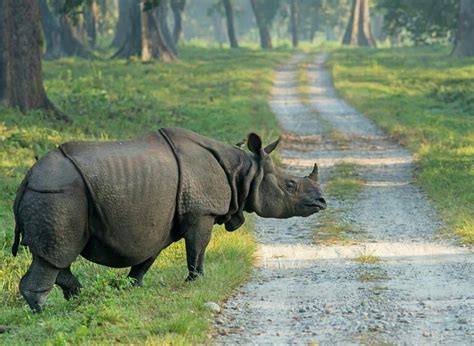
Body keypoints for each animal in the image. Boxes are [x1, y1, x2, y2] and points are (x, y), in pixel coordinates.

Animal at [13, 127, 326, 310]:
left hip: (57, 195)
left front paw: (133, 287)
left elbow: (147, 258)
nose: (322, 202)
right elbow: (198, 247)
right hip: (58, 194)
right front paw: (195, 282)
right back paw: (44, 313)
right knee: (55, 255)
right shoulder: (201, 211)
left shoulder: (160, 222)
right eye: (290, 186)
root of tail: (26, 180)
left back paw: (79, 299)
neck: (245, 171)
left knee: (57, 256)